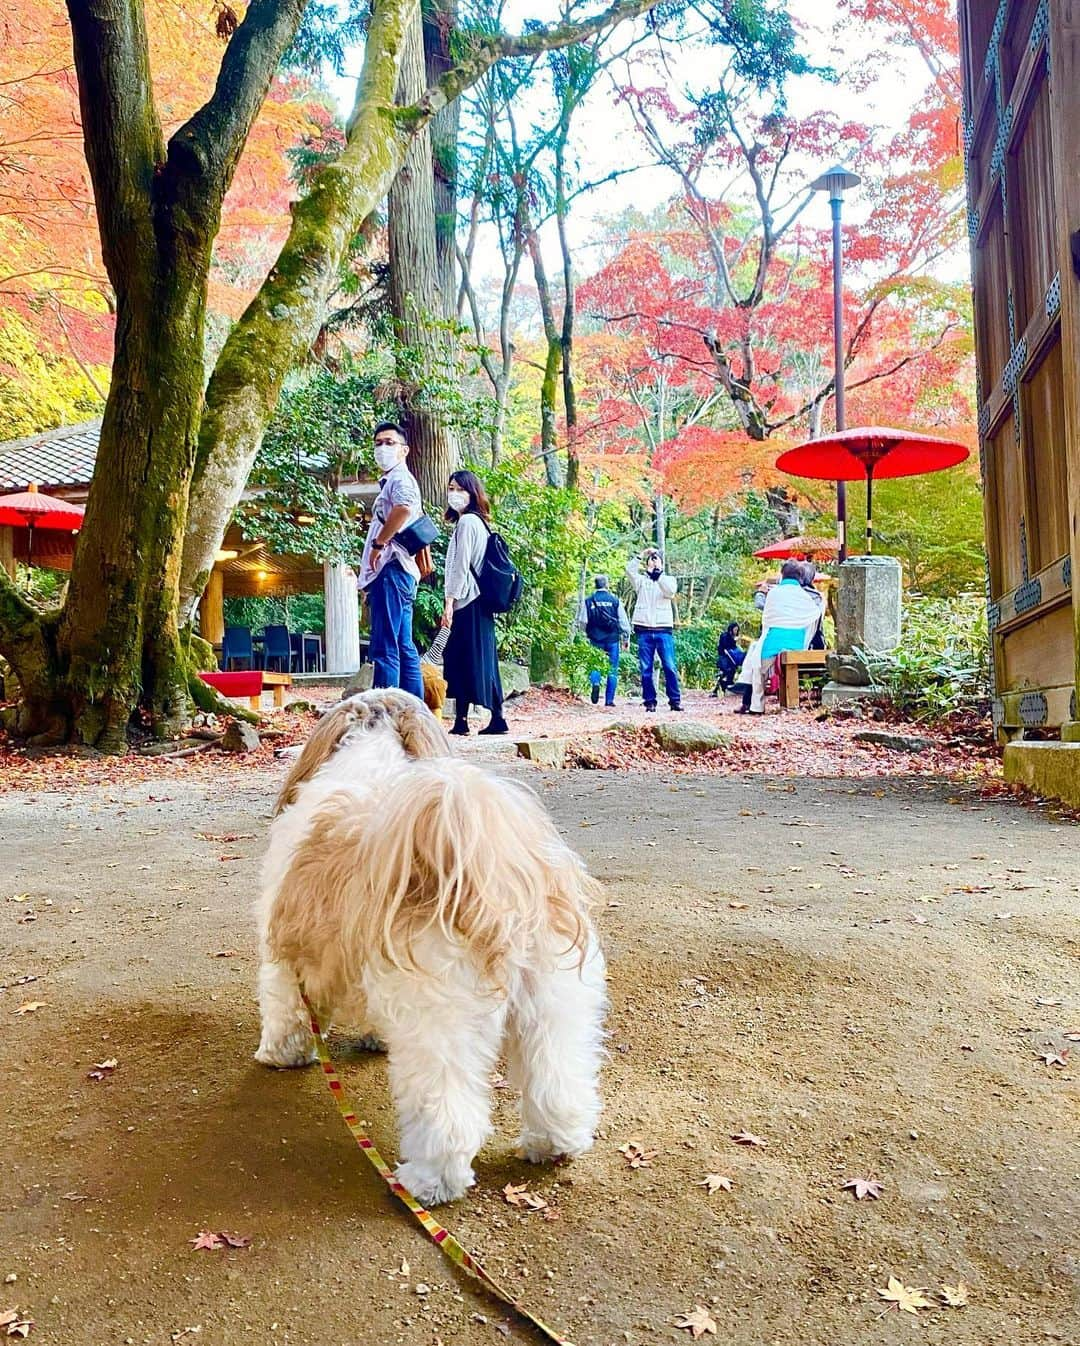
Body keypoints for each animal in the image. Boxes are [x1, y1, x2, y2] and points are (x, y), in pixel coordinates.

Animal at [253, 689, 605, 1206]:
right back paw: (555, 1144)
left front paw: (279, 1054)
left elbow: (285, 1011)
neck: (371, 760)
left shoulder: (289, 956)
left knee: (448, 1110)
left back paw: (428, 1181)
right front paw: (374, 1038)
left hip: (439, 1019)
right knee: (557, 1077)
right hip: (552, 1002)